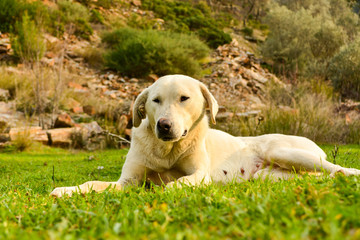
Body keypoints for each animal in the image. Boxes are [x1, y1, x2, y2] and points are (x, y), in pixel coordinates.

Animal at [50, 74, 360, 197]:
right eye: (155, 100)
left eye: (184, 98)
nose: (164, 125)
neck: (167, 151)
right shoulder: (127, 182)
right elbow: (93, 183)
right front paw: (67, 190)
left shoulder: (200, 174)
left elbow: (180, 182)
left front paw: (170, 188)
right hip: (269, 175)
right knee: (317, 176)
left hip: (282, 151)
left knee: (337, 168)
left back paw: (349, 174)